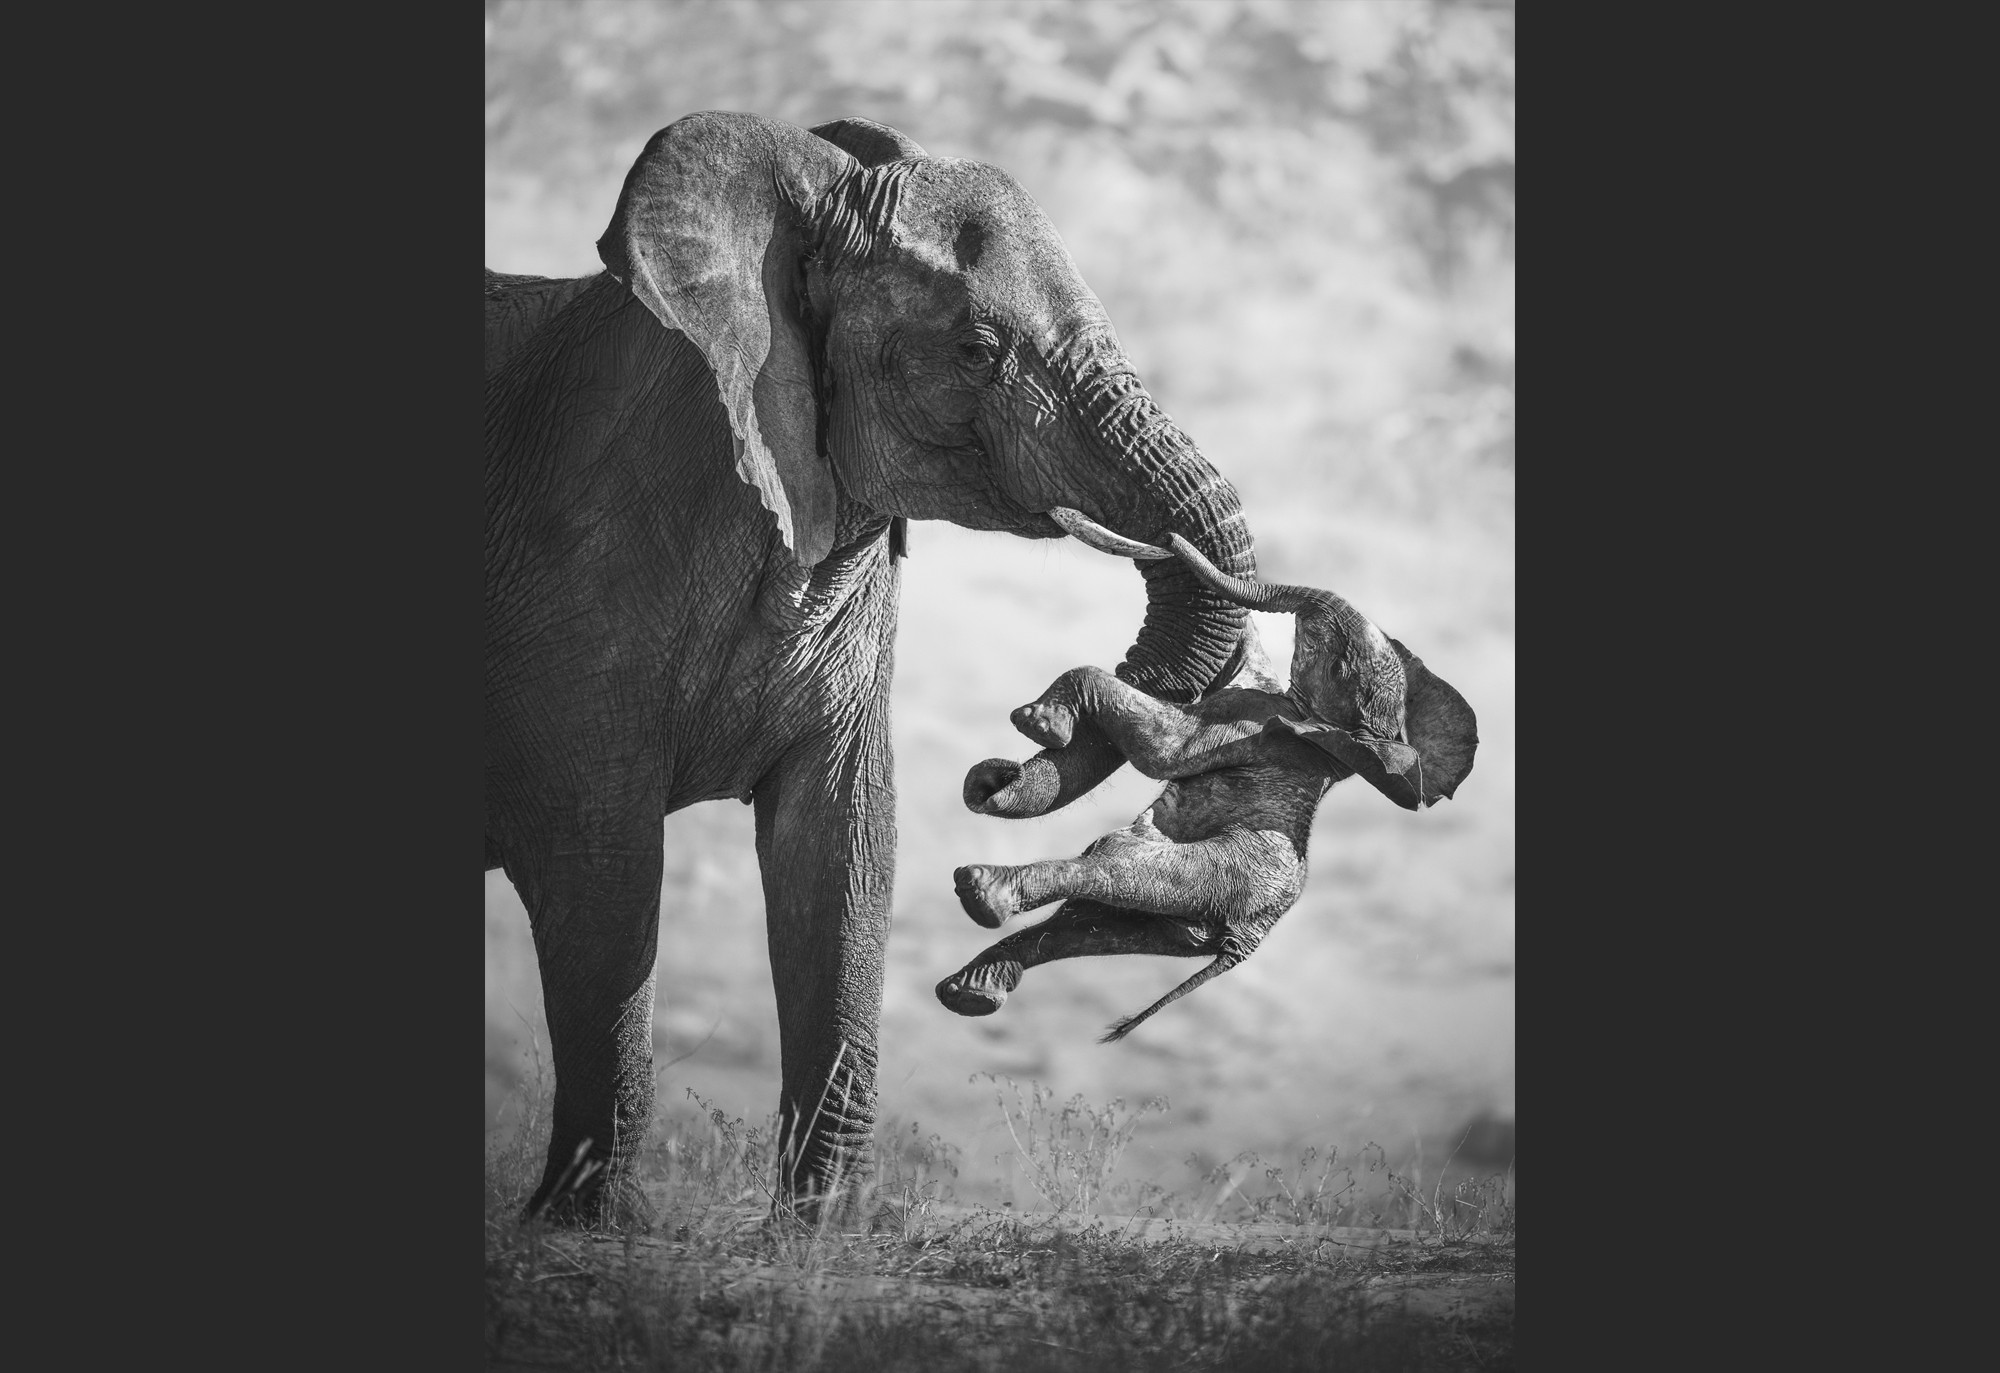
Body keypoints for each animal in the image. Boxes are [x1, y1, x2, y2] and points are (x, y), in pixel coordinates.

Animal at [485, 113, 1261, 1223]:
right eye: (975, 351)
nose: (1005, 757)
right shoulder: (574, 581)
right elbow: (604, 870)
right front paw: (589, 1229)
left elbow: (844, 848)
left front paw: (824, 1233)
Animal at [939, 511, 1477, 1041]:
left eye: (1340, 663)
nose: (1166, 535)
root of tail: (1244, 942)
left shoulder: (1252, 725)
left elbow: (1162, 751)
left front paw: (1038, 724)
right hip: (1188, 918)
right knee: (1088, 924)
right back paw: (970, 990)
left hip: (1220, 874)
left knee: (1112, 868)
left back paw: (982, 893)